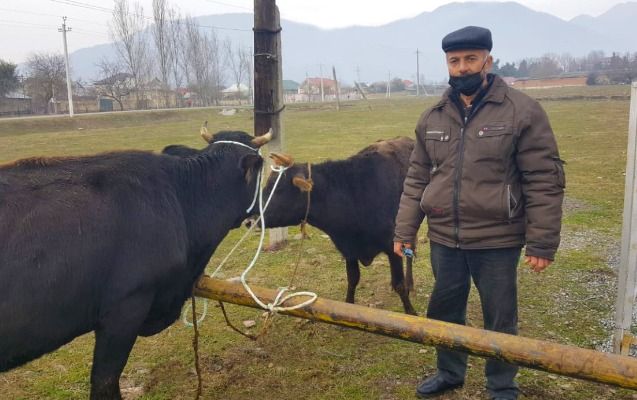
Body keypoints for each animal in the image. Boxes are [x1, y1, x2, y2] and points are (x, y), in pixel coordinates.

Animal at [260, 138, 418, 316]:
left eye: (279, 189)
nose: (252, 218)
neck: (353, 194)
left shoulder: (392, 246)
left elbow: (399, 284)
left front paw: (410, 311)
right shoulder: (348, 249)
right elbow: (353, 279)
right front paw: (348, 307)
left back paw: (410, 283)